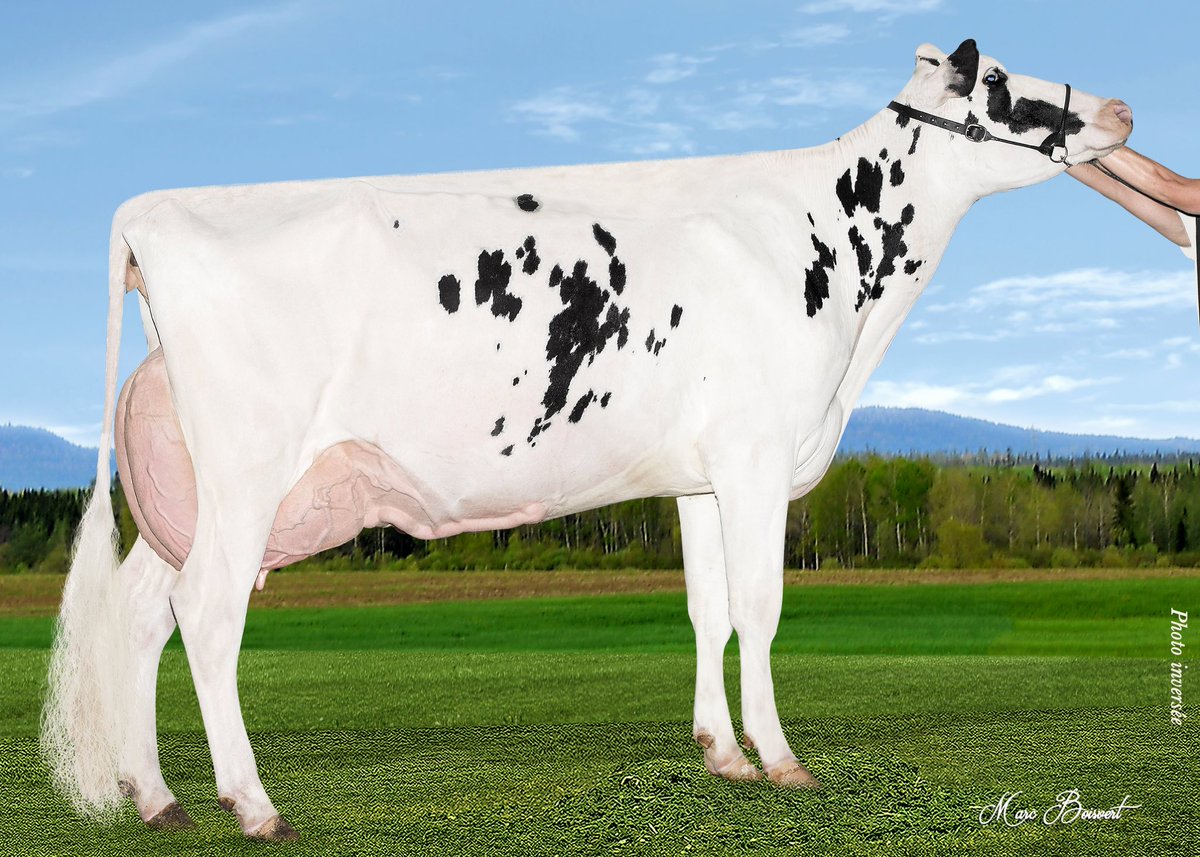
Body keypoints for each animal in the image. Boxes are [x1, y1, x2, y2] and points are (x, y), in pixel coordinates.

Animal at [41, 39, 1132, 841]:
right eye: (1002, 85)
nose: (1122, 110)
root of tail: (153, 212)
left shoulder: (700, 476)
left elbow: (708, 610)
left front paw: (722, 753)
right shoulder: (756, 457)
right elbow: (761, 609)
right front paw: (782, 759)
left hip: (194, 490)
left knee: (140, 612)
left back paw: (158, 796)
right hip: (245, 471)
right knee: (205, 612)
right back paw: (254, 803)